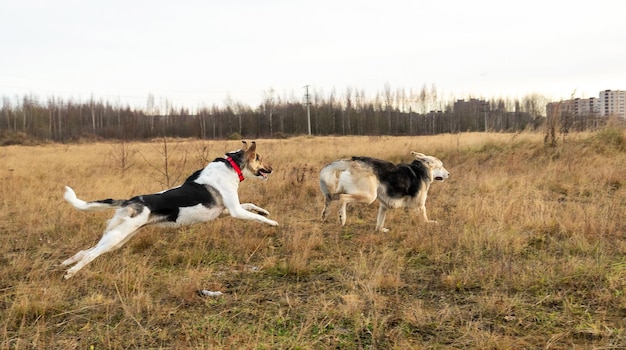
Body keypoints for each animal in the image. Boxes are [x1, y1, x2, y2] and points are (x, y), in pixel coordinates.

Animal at [61, 139, 276, 278]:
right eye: (259, 157)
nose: (272, 169)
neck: (232, 165)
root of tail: (129, 201)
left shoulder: (224, 211)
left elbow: (252, 206)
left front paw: (264, 211)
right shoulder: (235, 210)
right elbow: (257, 217)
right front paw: (272, 222)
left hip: (118, 238)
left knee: (86, 251)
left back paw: (66, 263)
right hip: (118, 236)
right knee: (90, 254)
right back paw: (70, 272)